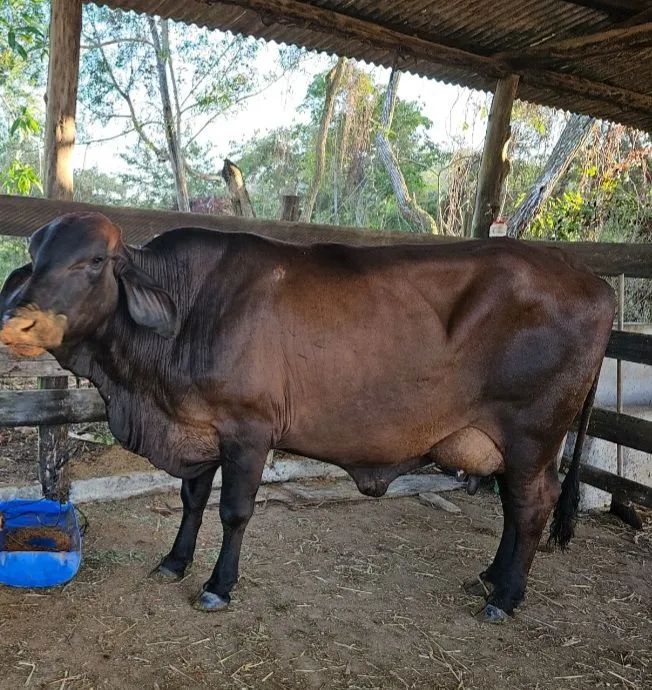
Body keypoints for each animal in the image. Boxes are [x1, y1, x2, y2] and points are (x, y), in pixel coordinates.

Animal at [0, 212, 615, 622]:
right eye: (36, 253)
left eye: (94, 261)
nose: (17, 323)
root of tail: (596, 281)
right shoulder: (199, 427)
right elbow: (192, 499)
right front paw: (174, 561)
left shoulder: (248, 431)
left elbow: (234, 512)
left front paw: (218, 585)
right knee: (515, 508)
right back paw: (490, 578)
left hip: (533, 434)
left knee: (531, 505)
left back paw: (505, 598)